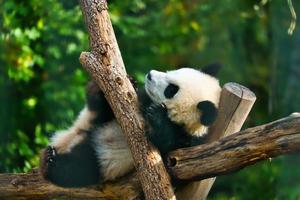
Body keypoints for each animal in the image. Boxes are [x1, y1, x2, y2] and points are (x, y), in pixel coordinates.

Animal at [39, 67, 221, 192]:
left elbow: (164, 142)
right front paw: (130, 82)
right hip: (94, 124)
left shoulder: (186, 142)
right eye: (174, 71)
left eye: (171, 89)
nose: (150, 74)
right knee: (99, 110)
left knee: (78, 168)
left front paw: (158, 115)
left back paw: (50, 162)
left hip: (101, 160)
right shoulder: (139, 99)